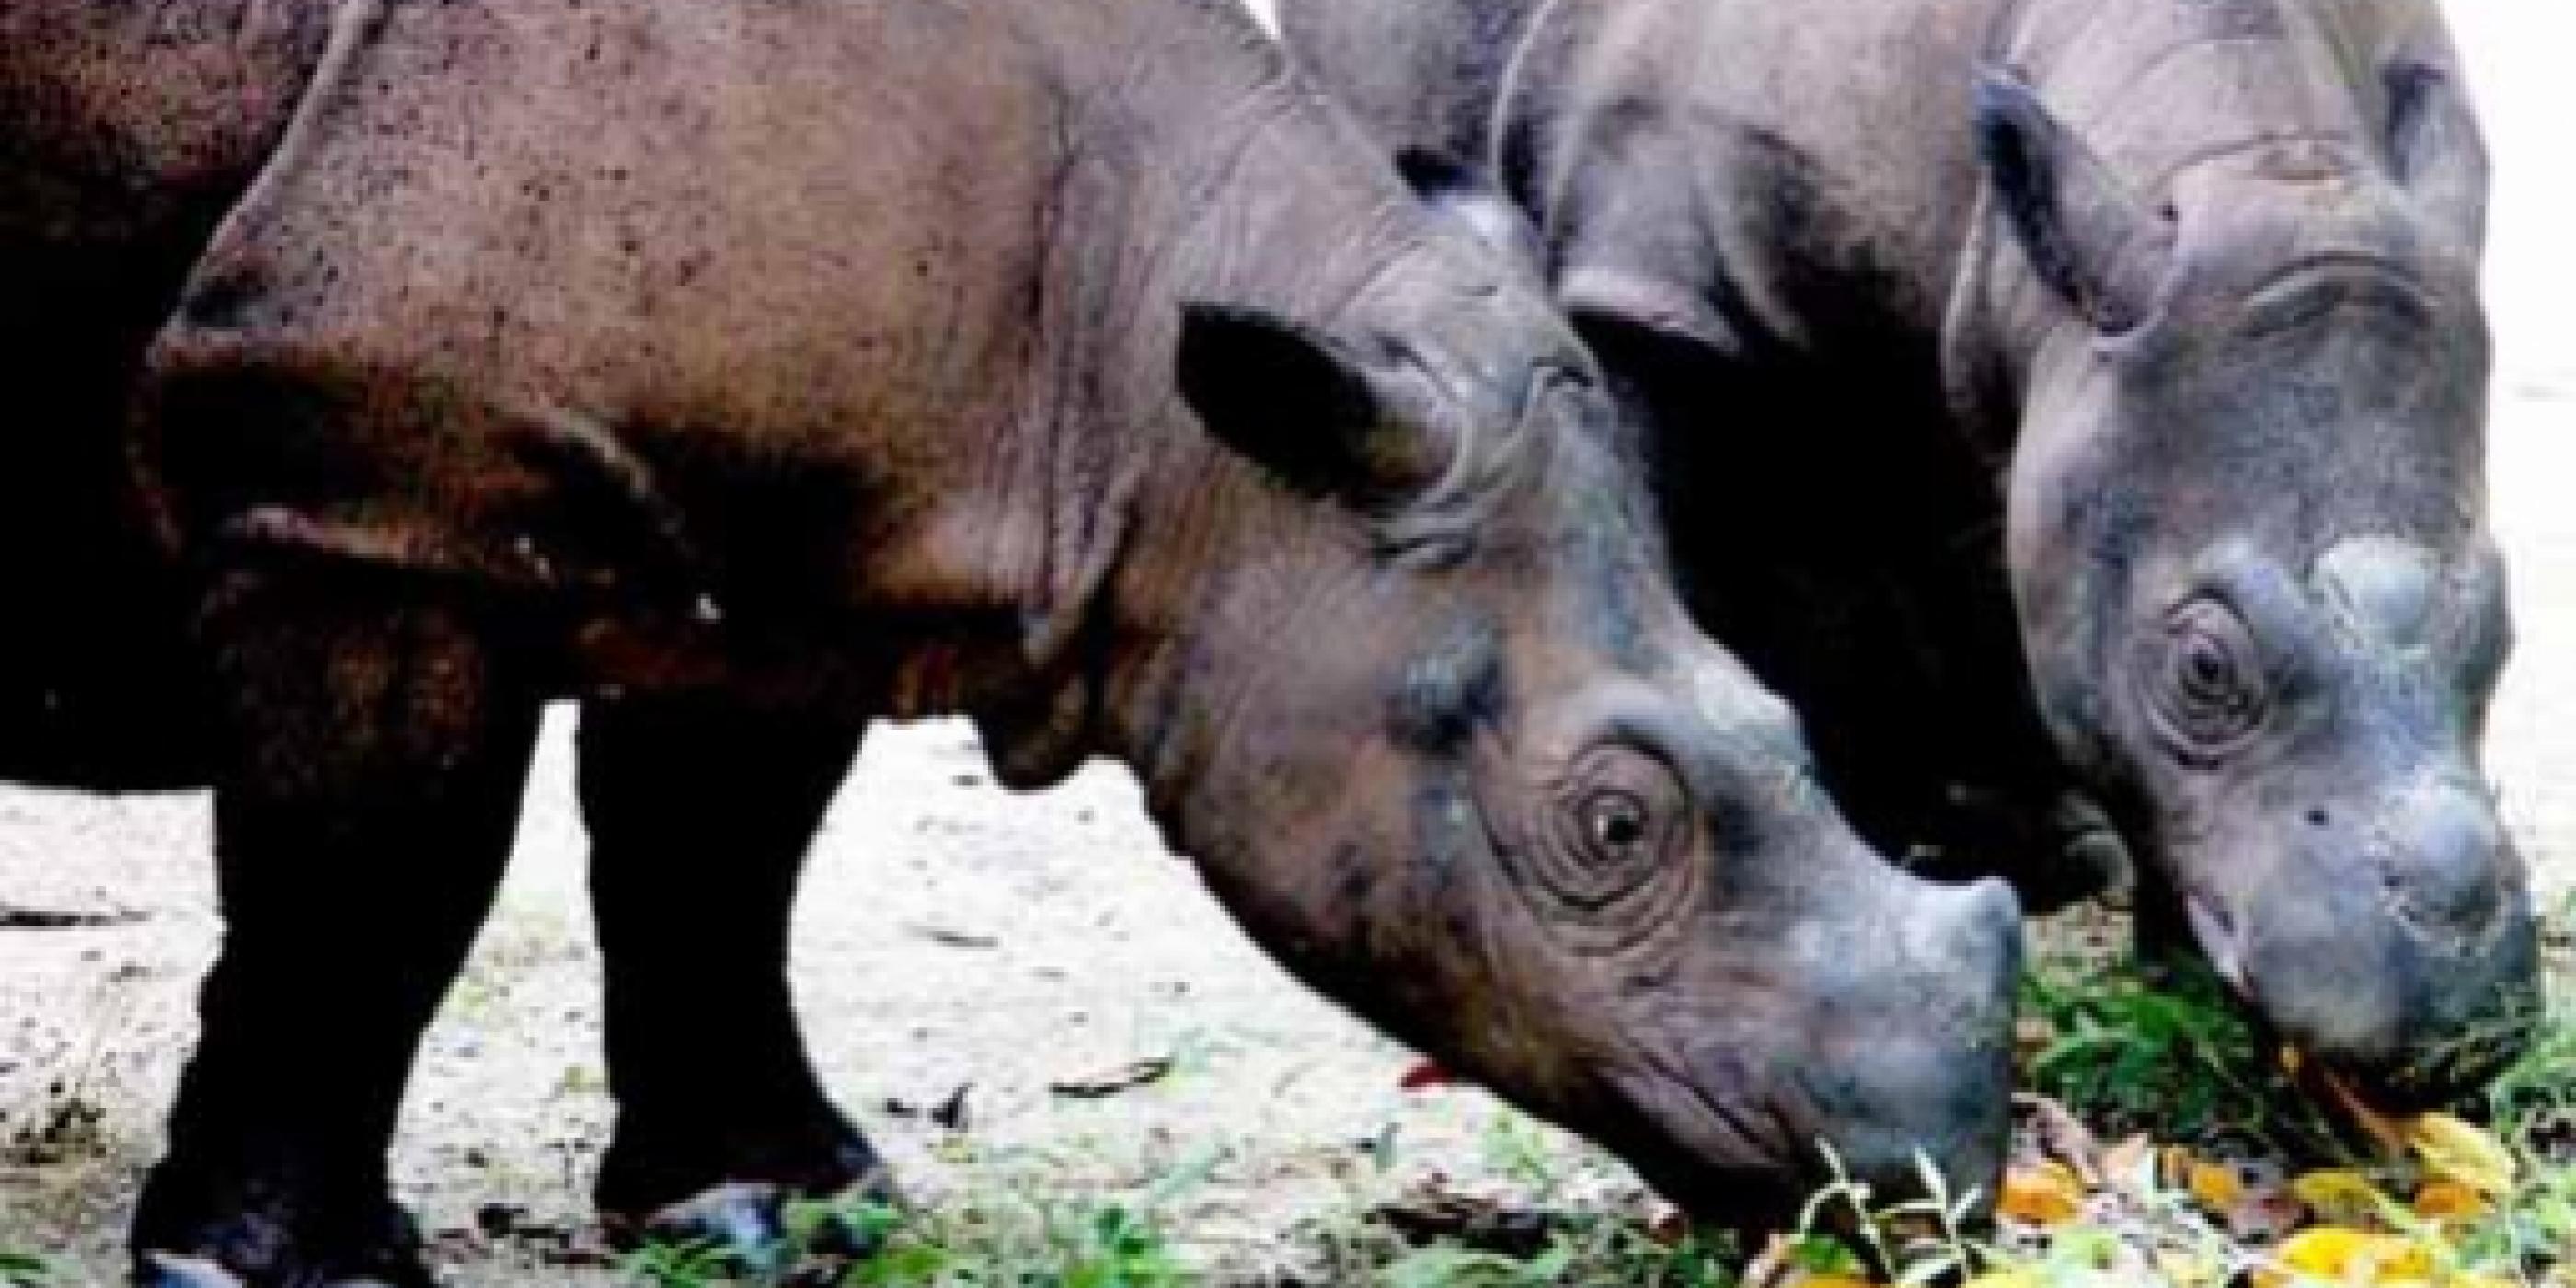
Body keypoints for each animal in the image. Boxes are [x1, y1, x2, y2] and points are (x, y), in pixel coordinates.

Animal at [1, 1, 2026, 1281]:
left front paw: (777, 1211)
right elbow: (371, 893)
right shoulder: (371, 489)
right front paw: (271, 1273)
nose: (1942, 1170)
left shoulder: (794, 540)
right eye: (1610, 824)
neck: (1158, 406)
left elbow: (713, 862)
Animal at [1280, 0, 2538, 1103]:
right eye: (2202, 669)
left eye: (2506, 637)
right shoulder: (1653, 292)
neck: (2249, 160)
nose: (2449, 1024)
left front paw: (2161, 954)